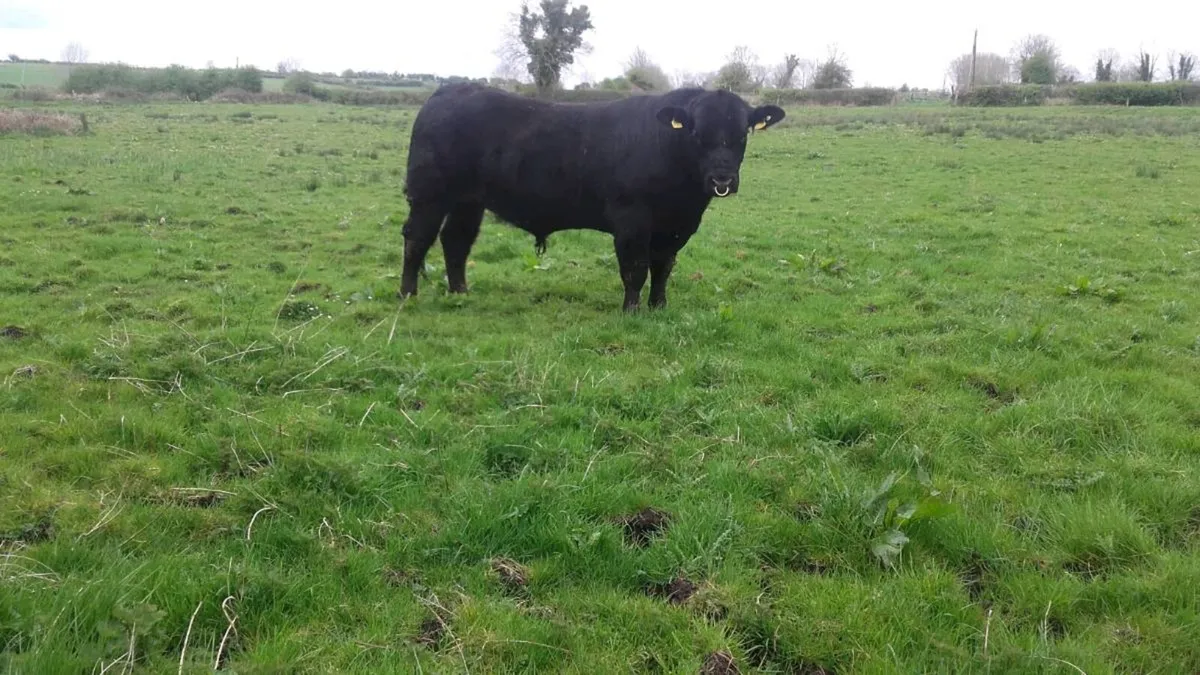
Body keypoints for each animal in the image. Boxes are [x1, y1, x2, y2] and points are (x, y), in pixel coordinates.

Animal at [397, 82, 785, 311]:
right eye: (697, 132)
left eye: (742, 133)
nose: (722, 178)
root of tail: (450, 90)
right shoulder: (631, 219)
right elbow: (635, 269)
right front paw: (632, 311)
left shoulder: (676, 226)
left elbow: (662, 267)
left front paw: (659, 307)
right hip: (429, 194)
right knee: (417, 238)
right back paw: (408, 295)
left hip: (468, 200)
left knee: (456, 241)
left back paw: (460, 292)